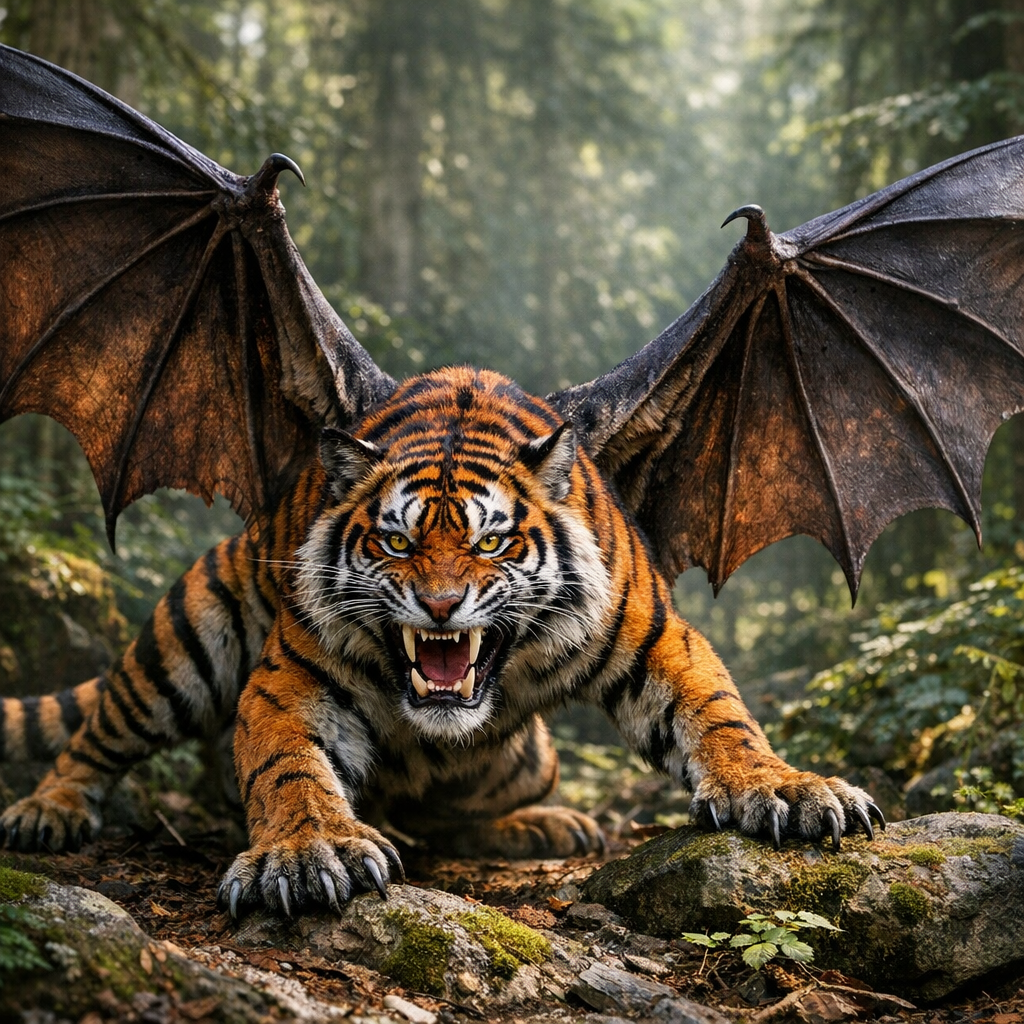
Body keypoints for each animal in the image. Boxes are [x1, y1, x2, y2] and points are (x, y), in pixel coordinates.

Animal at [0, 367, 883, 917]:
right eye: (397, 543)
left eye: (491, 543)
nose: (440, 605)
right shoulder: (290, 677)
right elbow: (287, 767)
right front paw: (310, 852)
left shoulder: (654, 636)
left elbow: (720, 716)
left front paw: (786, 790)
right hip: (183, 643)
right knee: (97, 734)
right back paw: (47, 812)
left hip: (524, 760)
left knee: (447, 817)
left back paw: (549, 828)